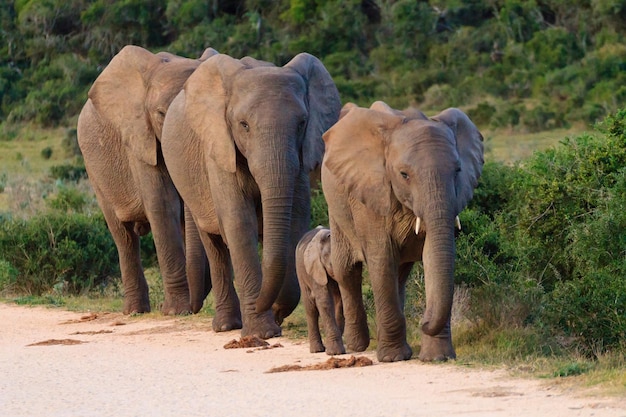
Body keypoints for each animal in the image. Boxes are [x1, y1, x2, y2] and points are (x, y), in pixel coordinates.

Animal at [77, 44, 217, 312]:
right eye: (161, 113)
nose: (194, 308)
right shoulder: (138, 138)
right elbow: (162, 205)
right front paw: (175, 311)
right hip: (94, 169)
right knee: (124, 236)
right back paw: (134, 311)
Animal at [158, 52, 338, 338]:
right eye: (243, 125)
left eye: (302, 124)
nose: (269, 307)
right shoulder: (219, 150)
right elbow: (239, 224)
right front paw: (260, 334)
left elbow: (296, 220)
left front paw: (275, 313)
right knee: (214, 244)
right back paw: (225, 326)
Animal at [320, 100, 480, 360]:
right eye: (404, 175)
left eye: (457, 171)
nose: (424, 321)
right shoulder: (370, 192)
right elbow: (382, 258)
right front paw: (393, 358)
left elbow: (432, 255)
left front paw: (438, 357)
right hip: (336, 206)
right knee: (347, 270)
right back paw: (356, 346)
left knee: (400, 274)